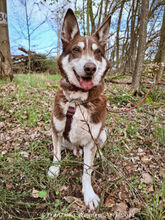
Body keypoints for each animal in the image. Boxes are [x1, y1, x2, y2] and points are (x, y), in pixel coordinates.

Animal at [48, 8, 111, 211]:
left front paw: (89, 194)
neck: (77, 99)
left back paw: (100, 156)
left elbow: (87, 172)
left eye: (98, 52)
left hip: (103, 133)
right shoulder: (56, 129)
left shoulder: (92, 139)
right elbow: (56, 154)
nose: (90, 67)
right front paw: (54, 170)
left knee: (98, 149)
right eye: (76, 49)